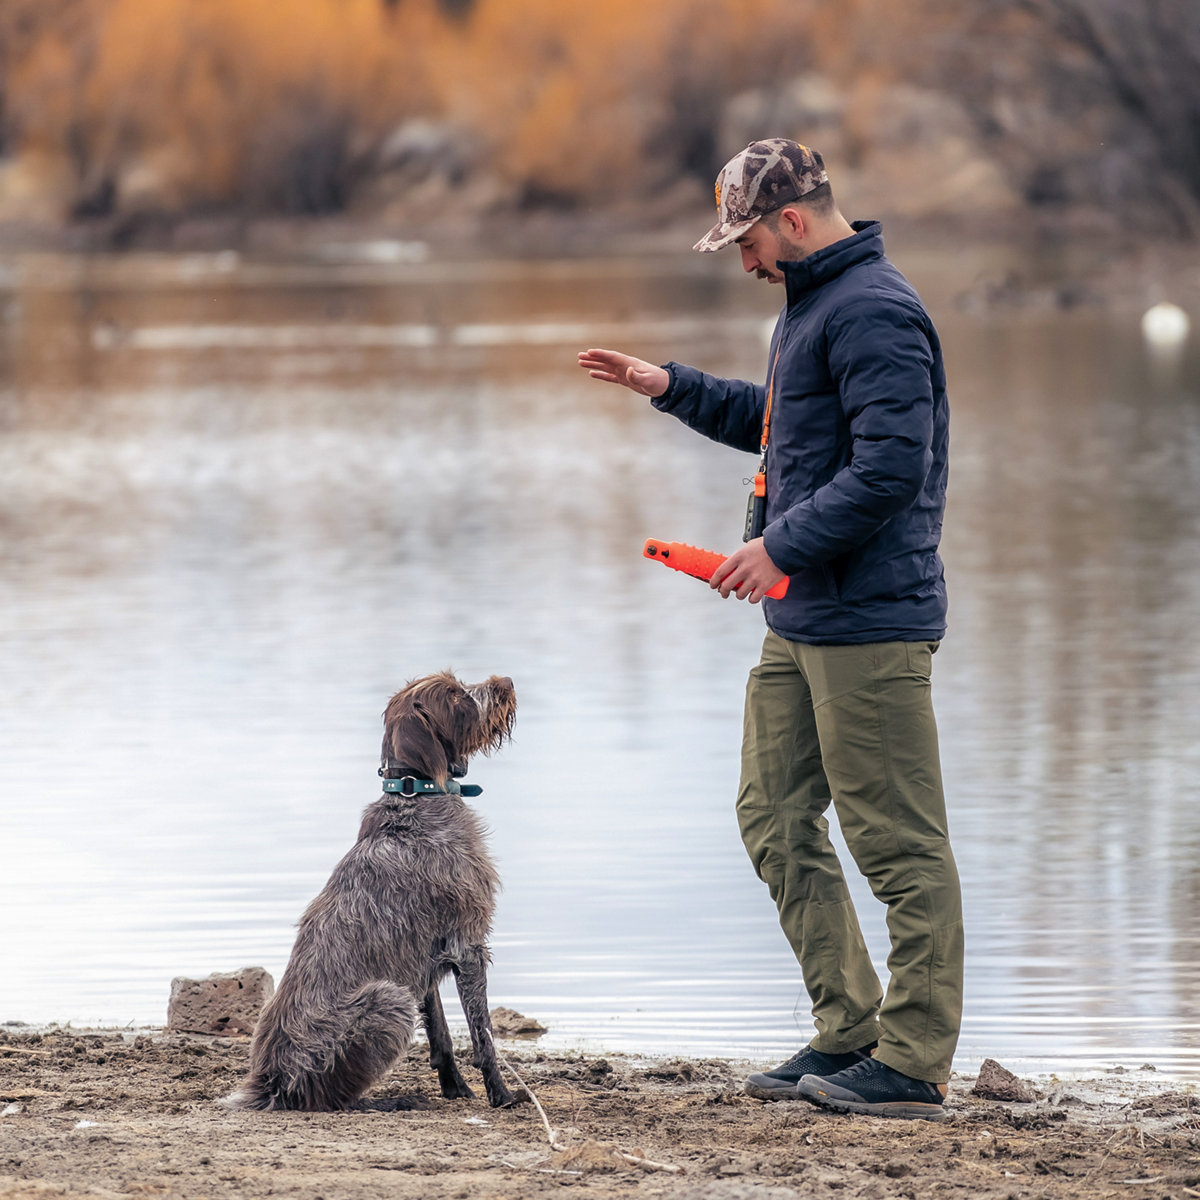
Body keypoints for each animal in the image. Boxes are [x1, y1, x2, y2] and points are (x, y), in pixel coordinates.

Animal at [223, 672, 518, 1108]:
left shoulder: (423, 959)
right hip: (389, 999)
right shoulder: (466, 945)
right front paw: (503, 1093)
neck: (416, 796)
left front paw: (455, 1087)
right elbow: (483, 1038)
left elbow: (441, 1035)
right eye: (455, 695)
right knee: (329, 1099)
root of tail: (272, 1082)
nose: (506, 682)